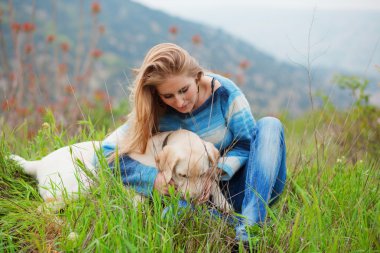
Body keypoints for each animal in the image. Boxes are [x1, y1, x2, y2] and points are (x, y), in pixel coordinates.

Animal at [11, 129, 232, 212]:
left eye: (202, 174)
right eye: (182, 175)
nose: (195, 199)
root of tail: (39, 163)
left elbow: (213, 183)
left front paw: (225, 204)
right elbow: (139, 199)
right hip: (80, 185)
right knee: (42, 210)